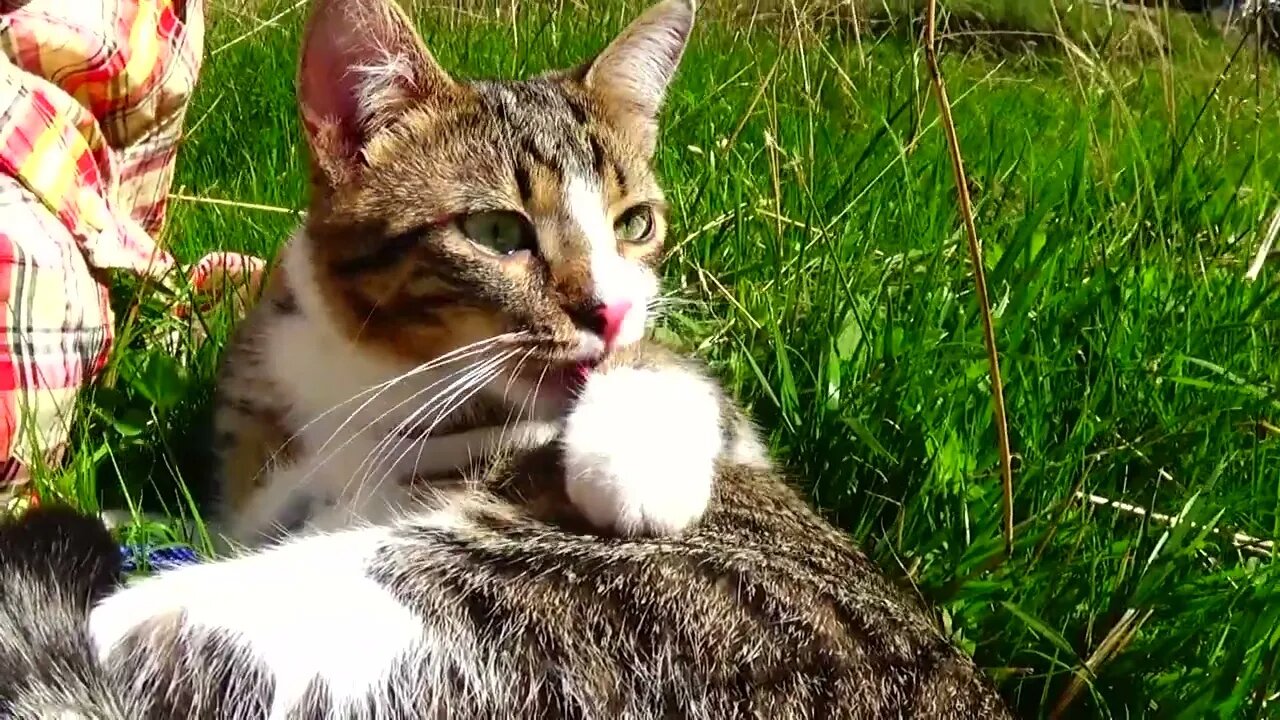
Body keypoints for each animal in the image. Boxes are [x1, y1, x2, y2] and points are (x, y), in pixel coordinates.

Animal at [0, 0, 1013, 712]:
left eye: (635, 225)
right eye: (497, 231)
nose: (609, 310)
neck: (374, 375)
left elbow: (681, 375)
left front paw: (636, 458)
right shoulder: (263, 438)